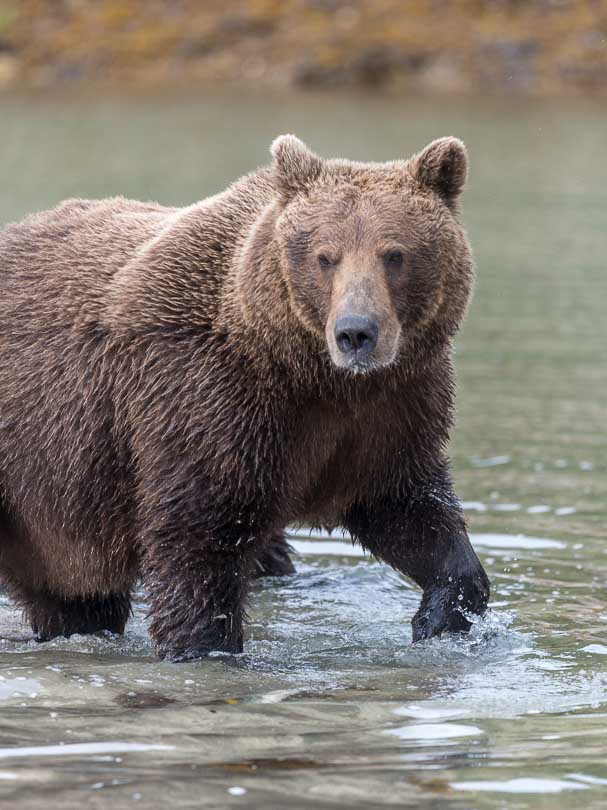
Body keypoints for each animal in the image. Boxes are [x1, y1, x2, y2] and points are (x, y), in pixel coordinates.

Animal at [0, 136, 490, 660]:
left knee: (77, 600)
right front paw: (203, 645)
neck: (310, 373)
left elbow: (407, 508)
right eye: (326, 256)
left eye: (394, 254)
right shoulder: (206, 397)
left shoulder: (390, 412)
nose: (356, 332)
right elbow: (199, 539)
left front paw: (439, 617)